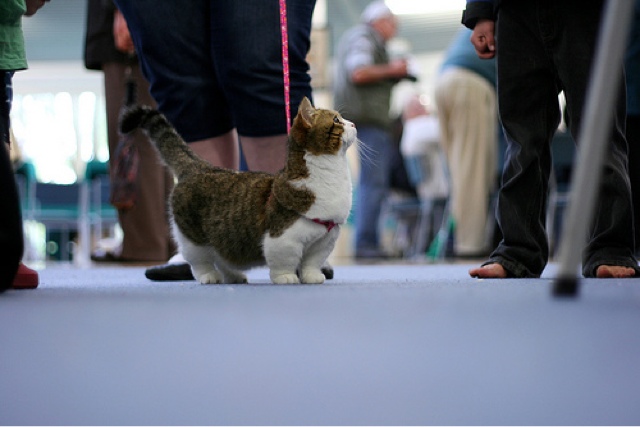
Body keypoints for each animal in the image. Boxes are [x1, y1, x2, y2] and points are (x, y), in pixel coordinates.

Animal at [119, 97, 356, 284]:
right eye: (336, 120)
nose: (353, 123)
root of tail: (199, 166)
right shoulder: (282, 239)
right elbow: (284, 262)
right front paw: (286, 278)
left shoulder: (323, 241)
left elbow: (311, 263)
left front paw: (311, 277)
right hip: (192, 237)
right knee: (200, 261)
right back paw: (209, 277)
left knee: (221, 257)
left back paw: (233, 276)